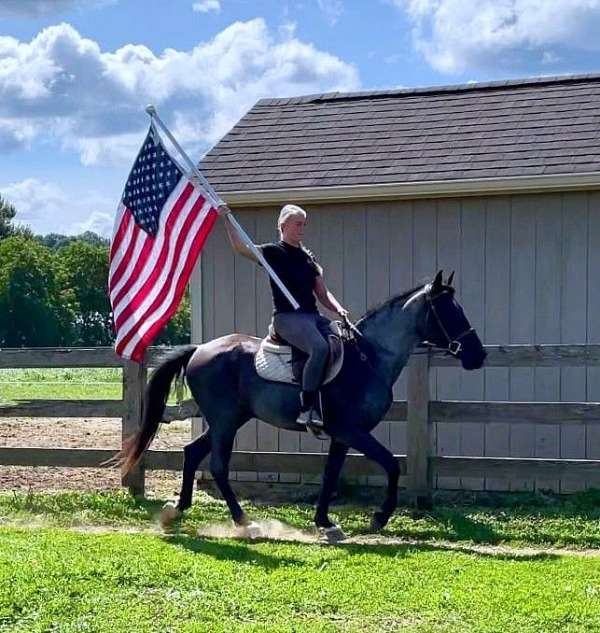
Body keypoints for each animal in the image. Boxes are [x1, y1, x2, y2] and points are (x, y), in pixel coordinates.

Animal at [118, 270, 488, 536]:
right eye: (448, 312)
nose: (478, 355)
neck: (368, 357)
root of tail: (200, 350)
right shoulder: (352, 431)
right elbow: (391, 465)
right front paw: (379, 517)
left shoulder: (342, 436)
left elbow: (330, 475)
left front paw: (324, 521)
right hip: (225, 421)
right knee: (218, 466)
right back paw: (243, 522)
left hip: (232, 418)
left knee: (193, 452)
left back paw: (177, 510)